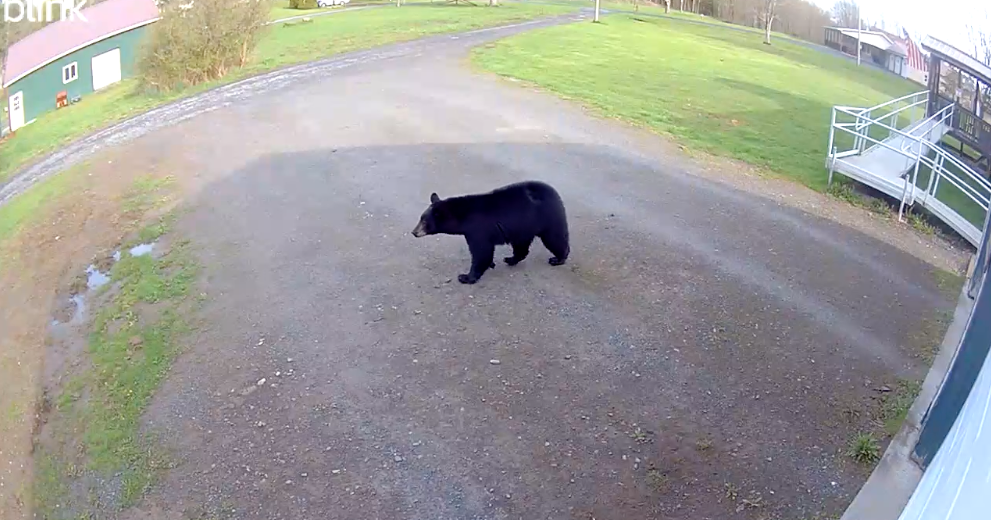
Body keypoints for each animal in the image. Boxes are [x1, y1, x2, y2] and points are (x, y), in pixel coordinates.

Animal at [410, 180, 568, 284]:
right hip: (523, 227)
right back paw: (511, 259)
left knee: (555, 238)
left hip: (548, 218)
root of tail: (555, 193)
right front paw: (490, 264)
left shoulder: (477, 229)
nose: (414, 232)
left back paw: (558, 259)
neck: (463, 216)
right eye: (420, 218)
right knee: (521, 246)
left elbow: (481, 252)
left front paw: (466, 277)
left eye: (424, 221)